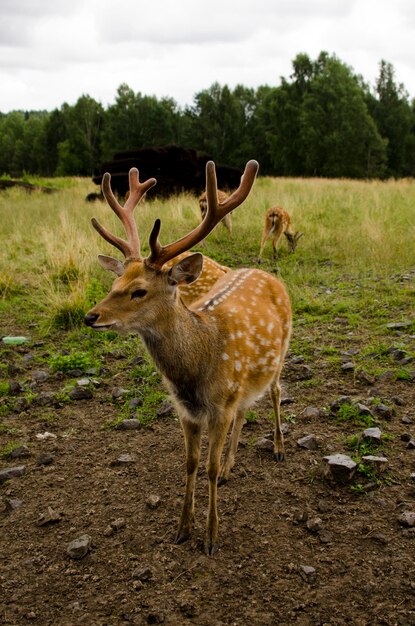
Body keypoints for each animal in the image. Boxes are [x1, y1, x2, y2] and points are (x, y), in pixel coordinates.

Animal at [84, 158, 292, 552]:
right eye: (114, 283)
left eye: (139, 291)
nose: (91, 316)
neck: (196, 369)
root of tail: (267, 274)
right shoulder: (187, 412)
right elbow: (190, 464)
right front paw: (182, 528)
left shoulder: (219, 407)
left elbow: (207, 467)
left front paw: (211, 536)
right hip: (244, 383)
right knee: (246, 409)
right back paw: (231, 467)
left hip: (283, 349)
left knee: (275, 392)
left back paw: (278, 447)